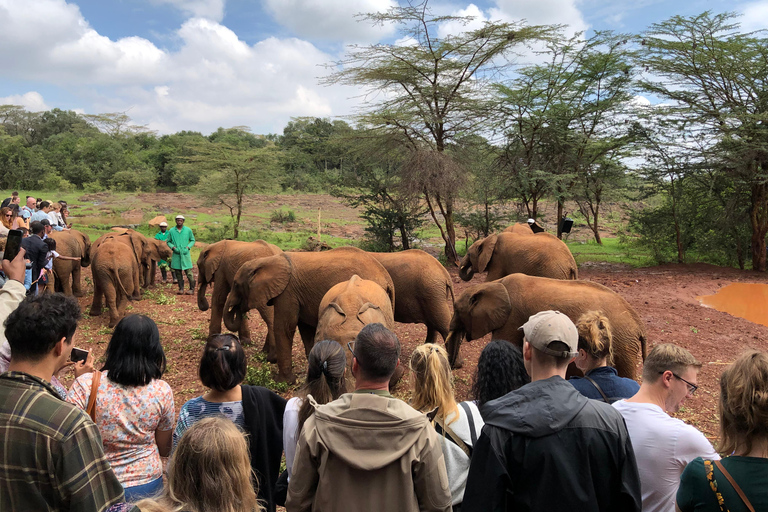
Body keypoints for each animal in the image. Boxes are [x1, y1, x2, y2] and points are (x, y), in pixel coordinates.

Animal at [220, 246, 390, 382]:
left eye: (236, 284)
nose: (238, 308)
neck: (267, 260)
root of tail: (386, 276)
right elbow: (306, 330)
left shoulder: (288, 291)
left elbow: (285, 327)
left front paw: (283, 382)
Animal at [444, 272, 648, 380]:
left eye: (457, 309)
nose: (453, 367)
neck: (495, 284)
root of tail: (639, 324)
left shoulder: (511, 319)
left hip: (623, 344)